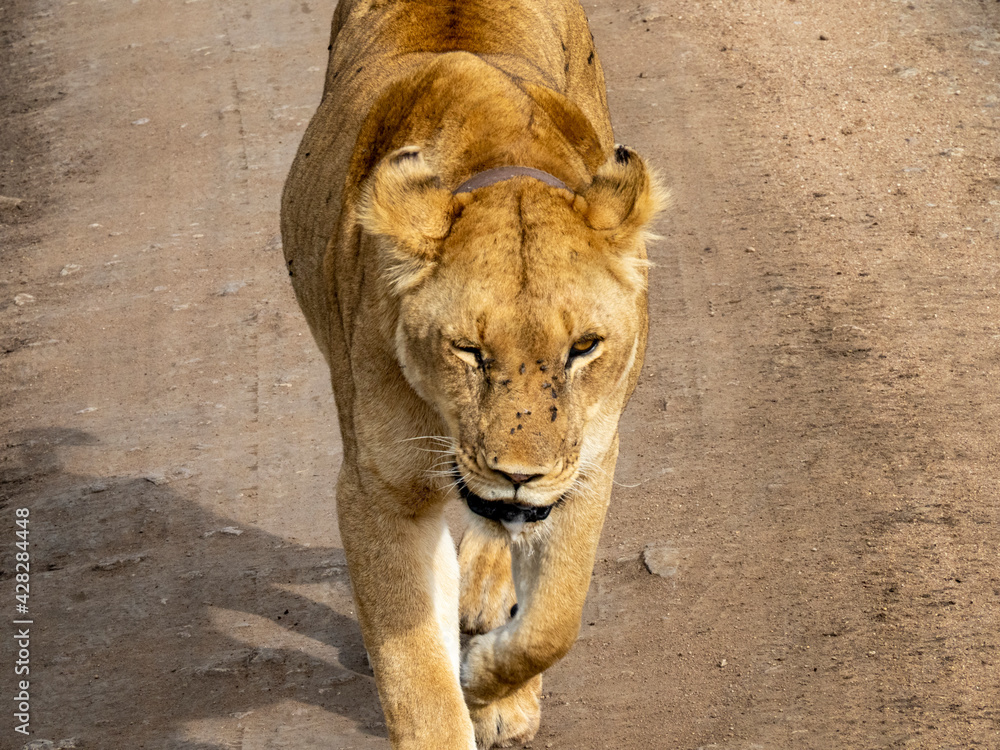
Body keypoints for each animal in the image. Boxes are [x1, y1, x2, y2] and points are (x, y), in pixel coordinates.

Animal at [280, 0, 664, 747]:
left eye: (584, 347)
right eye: (467, 350)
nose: (520, 473)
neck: (502, 162)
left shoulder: (591, 459)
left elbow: (555, 618)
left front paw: (491, 684)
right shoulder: (379, 492)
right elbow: (415, 676)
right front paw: (462, 690)